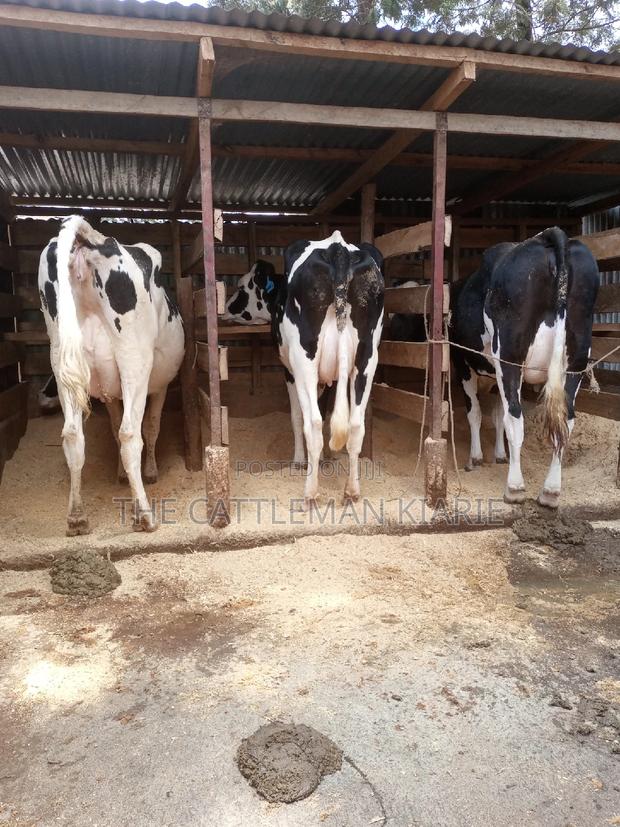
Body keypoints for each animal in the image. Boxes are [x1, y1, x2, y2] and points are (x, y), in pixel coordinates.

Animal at [39, 215, 185, 535]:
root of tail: (92, 237)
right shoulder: (160, 386)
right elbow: (149, 428)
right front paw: (150, 472)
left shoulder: (108, 395)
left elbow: (115, 428)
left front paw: (122, 474)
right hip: (134, 358)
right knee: (131, 434)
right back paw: (144, 515)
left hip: (61, 359)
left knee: (73, 435)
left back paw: (77, 518)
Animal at [272, 231, 384, 509]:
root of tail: (338, 248)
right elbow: (328, 414)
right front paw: (325, 459)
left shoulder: (289, 371)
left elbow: (298, 417)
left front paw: (299, 461)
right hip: (367, 358)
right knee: (355, 424)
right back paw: (351, 492)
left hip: (304, 359)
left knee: (312, 423)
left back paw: (311, 494)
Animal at [450, 226, 599, 508]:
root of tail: (551, 236)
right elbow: (496, 414)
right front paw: (498, 455)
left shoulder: (461, 362)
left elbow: (477, 413)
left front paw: (476, 457)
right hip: (576, 360)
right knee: (566, 420)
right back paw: (551, 491)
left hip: (509, 356)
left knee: (515, 417)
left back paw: (515, 487)